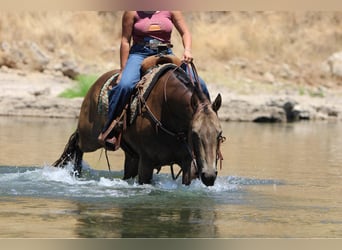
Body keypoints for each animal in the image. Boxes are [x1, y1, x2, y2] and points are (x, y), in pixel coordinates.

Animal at [52, 57, 224, 186]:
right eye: (194, 133)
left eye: (219, 133)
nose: (209, 176)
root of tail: (94, 85)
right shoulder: (146, 163)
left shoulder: (188, 164)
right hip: (90, 139)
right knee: (77, 144)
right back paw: (76, 173)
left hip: (131, 156)